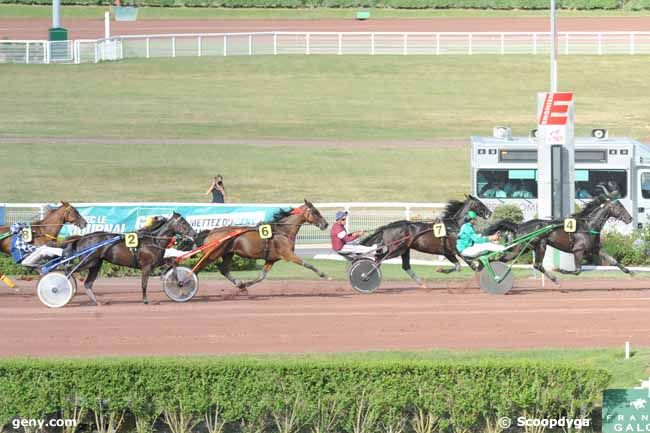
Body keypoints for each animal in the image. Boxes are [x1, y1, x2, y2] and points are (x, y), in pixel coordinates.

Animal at [61, 213, 195, 304]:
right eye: (183, 223)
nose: (194, 234)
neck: (154, 241)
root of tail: (82, 237)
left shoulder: (156, 262)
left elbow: (172, 262)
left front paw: (179, 282)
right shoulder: (146, 266)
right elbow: (144, 284)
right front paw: (145, 300)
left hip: (96, 264)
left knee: (88, 283)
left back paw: (97, 302)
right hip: (89, 261)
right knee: (70, 270)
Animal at [190, 201, 326, 292]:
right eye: (315, 212)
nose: (325, 224)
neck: (282, 231)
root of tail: (211, 231)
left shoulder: (271, 259)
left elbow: (261, 277)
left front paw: (245, 285)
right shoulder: (288, 254)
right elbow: (307, 264)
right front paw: (322, 274)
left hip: (228, 253)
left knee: (223, 269)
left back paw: (238, 283)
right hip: (213, 254)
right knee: (197, 268)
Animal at [356, 194, 488, 286]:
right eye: (479, 203)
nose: (489, 212)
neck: (453, 226)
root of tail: (388, 226)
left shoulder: (450, 252)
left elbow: (462, 266)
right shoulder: (453, 251)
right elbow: (464, 265)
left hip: (404, 250)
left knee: (404, 266)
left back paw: (422, 284)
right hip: (396, 249)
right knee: (378, 260)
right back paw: (365, 276)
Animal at [484, 186, 632, 282]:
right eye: (619, 206)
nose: (630, 218)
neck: (588, 226)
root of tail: (519, 225)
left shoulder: (595, 249)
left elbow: (613, 261)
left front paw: (629, 272)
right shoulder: (578, 250)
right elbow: (577, 270)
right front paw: (561, 270)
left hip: (522, 248)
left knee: (501, 259)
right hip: (538, 245)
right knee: (536, 265)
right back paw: (555, 278)